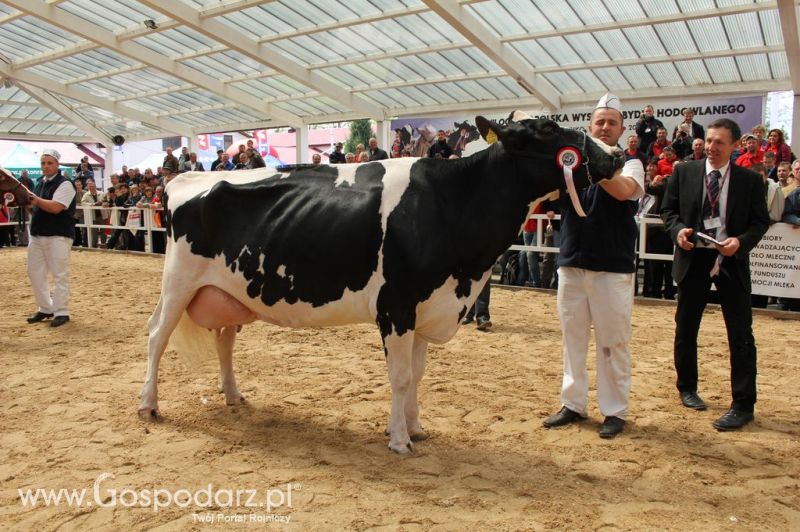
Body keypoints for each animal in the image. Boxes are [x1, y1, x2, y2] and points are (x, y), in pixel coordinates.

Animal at [139, 112, 624, 454]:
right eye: (547, 129)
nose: (616, 155)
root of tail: (185, 177)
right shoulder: (397, 306)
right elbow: (401, 376)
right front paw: (398, 439)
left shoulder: (429, 307)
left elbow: (418, 374)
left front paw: (416, 427)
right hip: (177, 282)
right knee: (156, 336)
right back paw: (148, 405)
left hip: (232, 291)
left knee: (224, 340)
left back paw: (234, 396)